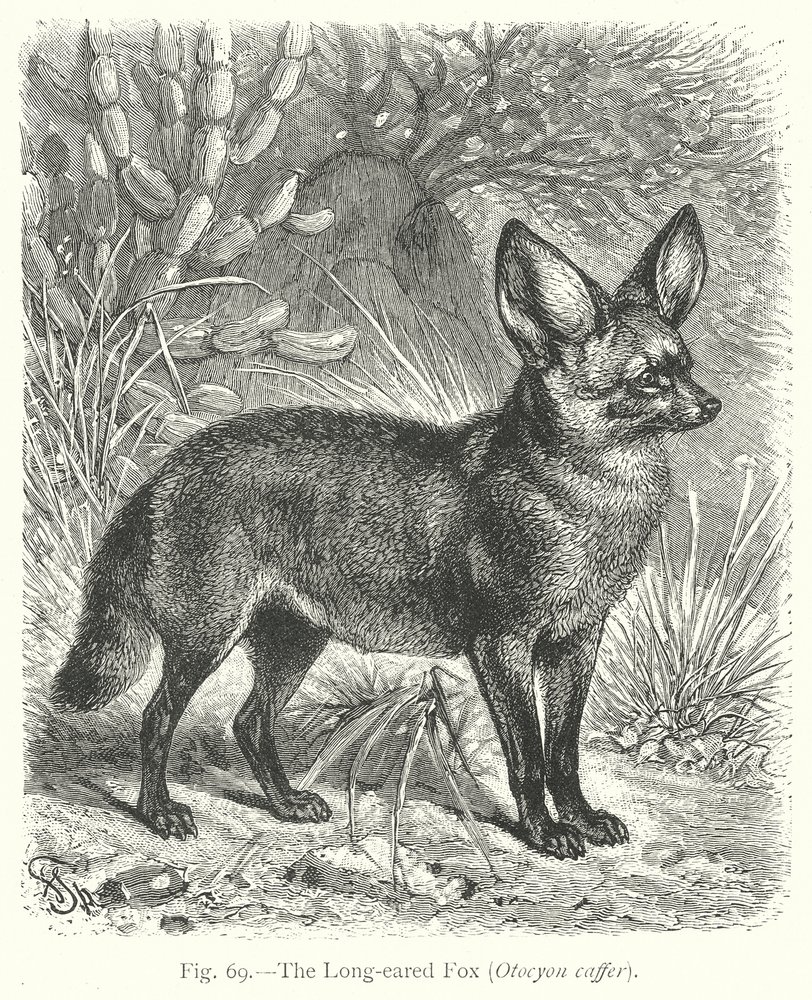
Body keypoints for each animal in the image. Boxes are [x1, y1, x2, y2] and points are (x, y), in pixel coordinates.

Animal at [52, 204, 720, 860]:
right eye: (648, 378)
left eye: (685, 366)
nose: (713, 405)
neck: (580, 492)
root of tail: (169, 469)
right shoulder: (502, 646)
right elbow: (529, 756)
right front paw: (544, 831)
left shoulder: (575, 643)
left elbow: (563, 753)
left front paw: (580, 816)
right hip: (205, 638)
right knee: (157, 720)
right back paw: (158, 812)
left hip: (292, 641)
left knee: (250, 723)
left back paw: (286, 803)